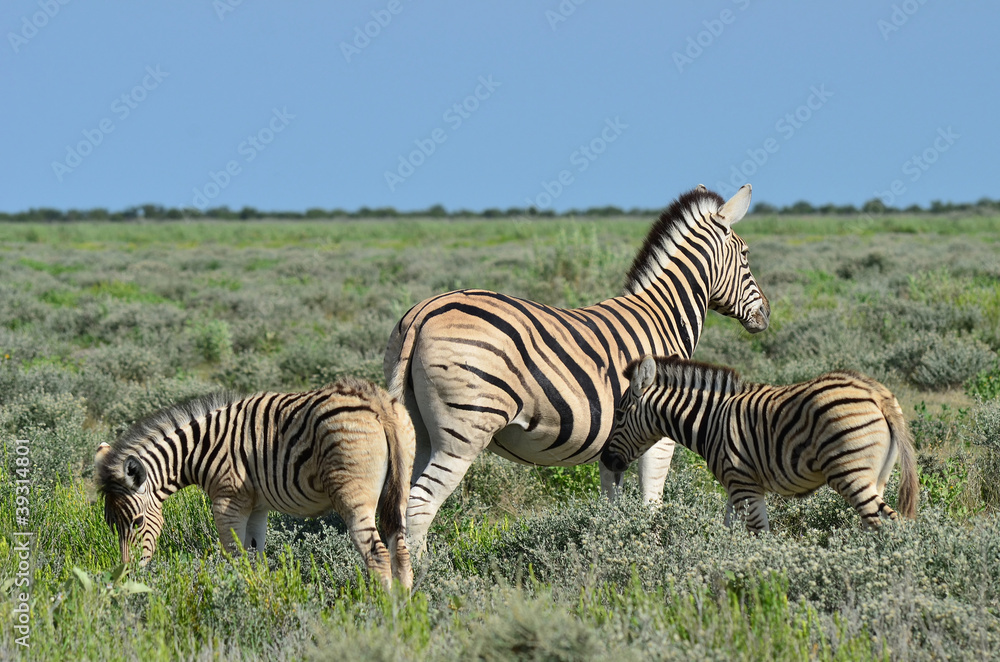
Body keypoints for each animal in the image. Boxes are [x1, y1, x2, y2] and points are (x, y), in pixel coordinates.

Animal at [95, 377, 415, 591]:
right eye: (111, 525)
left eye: (137, 522)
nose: (126, 577)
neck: (200, 450)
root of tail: (374, 400)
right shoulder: (257, 506)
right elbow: (254, 554)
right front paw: (257, 591)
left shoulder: (227, 501)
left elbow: (234, 555)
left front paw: (237, 593)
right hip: (400, 488)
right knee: (400, 548)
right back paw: (404, 607)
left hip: (353, 496)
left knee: (377, 553)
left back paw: (380, 609)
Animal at [384, 184, 770, 553]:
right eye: (746, 255)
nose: (766, 314)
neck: (662, 318)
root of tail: (422, 313)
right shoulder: (658, 433)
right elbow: (651, 503)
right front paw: (651, 550)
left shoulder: (616, 446)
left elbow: (612, 504)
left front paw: (615, 549)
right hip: (464, 432)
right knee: (420, 506)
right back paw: (423, 577)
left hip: (419, 431)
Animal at [601, 355, 919, 531]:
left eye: (620, 414)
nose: (605, 460)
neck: (711, 420)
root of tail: (876, 393)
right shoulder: (734, 486)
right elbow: (730, 531)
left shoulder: (744, 484)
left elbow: (758, 535)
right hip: (877, 476)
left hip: (851, 473)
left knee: (882, 525)